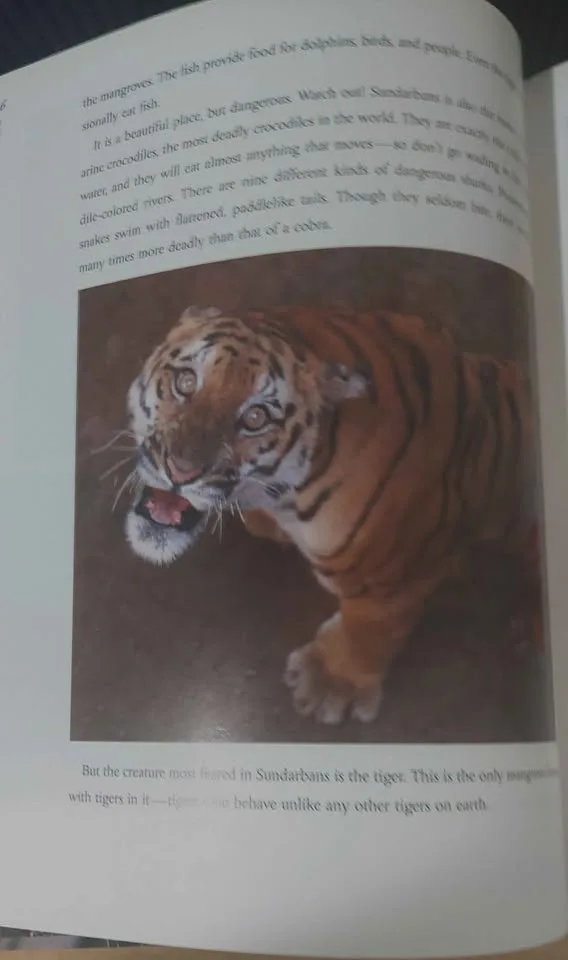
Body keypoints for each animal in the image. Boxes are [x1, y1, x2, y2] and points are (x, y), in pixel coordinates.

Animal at [125, 303, 541, 725]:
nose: (179, 471)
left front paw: (329, 683)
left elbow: (370, 630)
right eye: (186, 382)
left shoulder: (398, 576)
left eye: (256, 417)